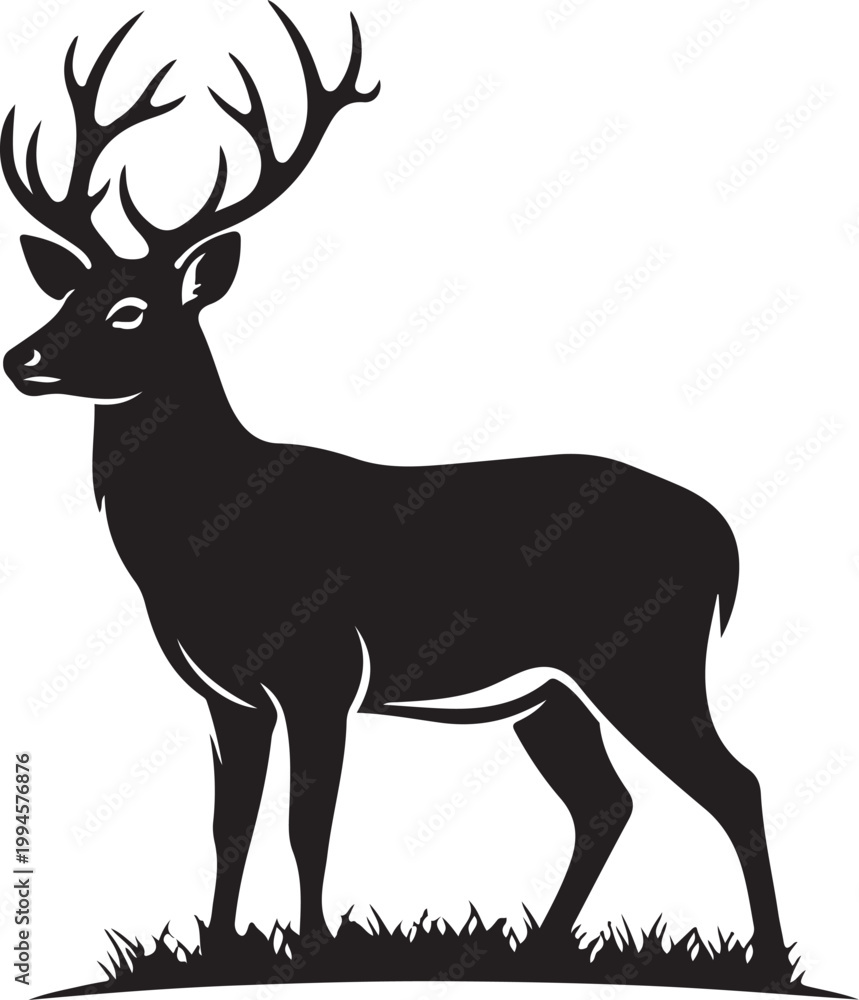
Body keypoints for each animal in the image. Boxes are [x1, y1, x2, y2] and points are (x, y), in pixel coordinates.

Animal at [2, 2, 789, 968]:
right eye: (66, 293)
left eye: (130, 309)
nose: (21, 358)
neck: (207, 536)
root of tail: (723, 536)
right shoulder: (227, 696)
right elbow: (228, 826)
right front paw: (216, 951)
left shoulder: (322, 668)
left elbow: (307, 821)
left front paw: (312, 949)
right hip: (549, 692)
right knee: (606, 802)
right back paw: (537, 947)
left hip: (649, 657)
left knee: (735, 783)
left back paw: (767, 959)